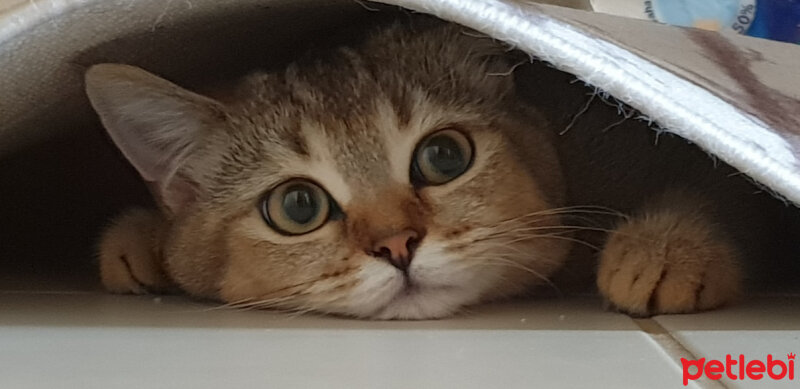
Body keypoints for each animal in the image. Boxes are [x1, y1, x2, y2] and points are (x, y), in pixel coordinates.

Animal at [84, 16, 792, 318]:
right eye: (297, 206)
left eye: (444, 157)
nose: (398, 245)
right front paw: (144, 238)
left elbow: (713, 175)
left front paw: (664, 248)